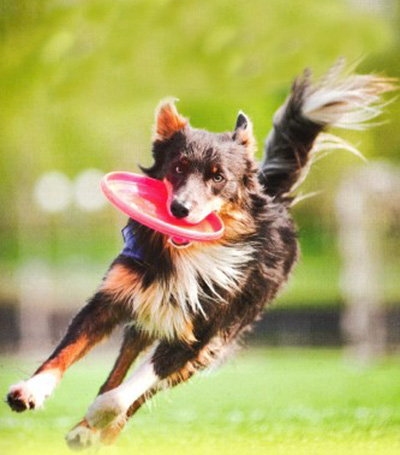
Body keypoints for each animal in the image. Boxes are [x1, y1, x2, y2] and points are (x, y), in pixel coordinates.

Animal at [5, 59, 394, 448]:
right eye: (178, 167)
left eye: (218, 177)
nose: (179, 210)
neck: (184, 257)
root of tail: (273, 194)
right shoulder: (114, 298)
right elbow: (67, 350)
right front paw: (31, 390)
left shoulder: (200, 334)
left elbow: (130, 390)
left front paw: (100, 414)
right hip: (146, 317)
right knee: (123, 363)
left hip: (215, 340)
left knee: (142, 390)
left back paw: (99, 428)